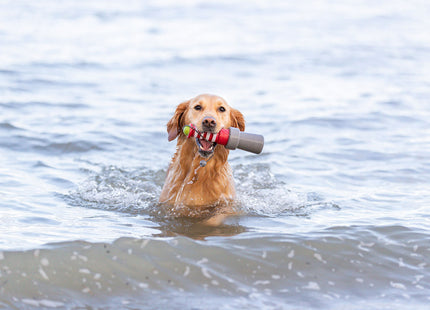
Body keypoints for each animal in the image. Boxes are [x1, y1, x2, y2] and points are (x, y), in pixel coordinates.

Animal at [159, 94, 245, 225]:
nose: (209, 122)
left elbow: (215, 218)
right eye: (198, 107)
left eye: (222, 109)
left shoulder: (229, 206)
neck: (201, 172)